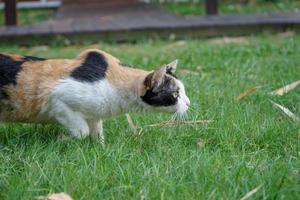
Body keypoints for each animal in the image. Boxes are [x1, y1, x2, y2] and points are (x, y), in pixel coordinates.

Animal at [0, 49, 190, 144]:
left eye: (183, 91)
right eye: (176, 93)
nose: (188, 103)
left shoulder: (94, 114)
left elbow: (97, 132)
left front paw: (100, 149)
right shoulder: (57, 100)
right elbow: (82, 131)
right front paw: (62, 139)